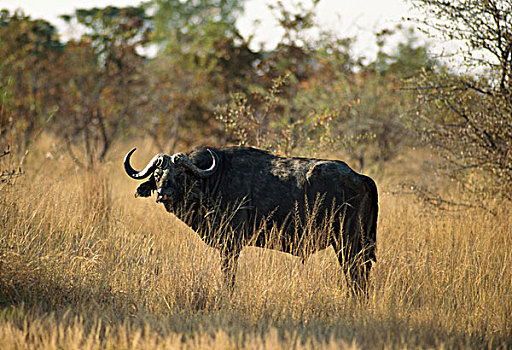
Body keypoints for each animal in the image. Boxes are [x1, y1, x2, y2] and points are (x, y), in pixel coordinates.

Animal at [125, 146, 376, 292]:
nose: (162, 193)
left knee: (356, 275)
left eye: (180, 174)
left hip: (347, 243)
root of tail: (359, 176)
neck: (214, 180)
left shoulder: (230, 245)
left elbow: (229, 277)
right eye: (158, 174)